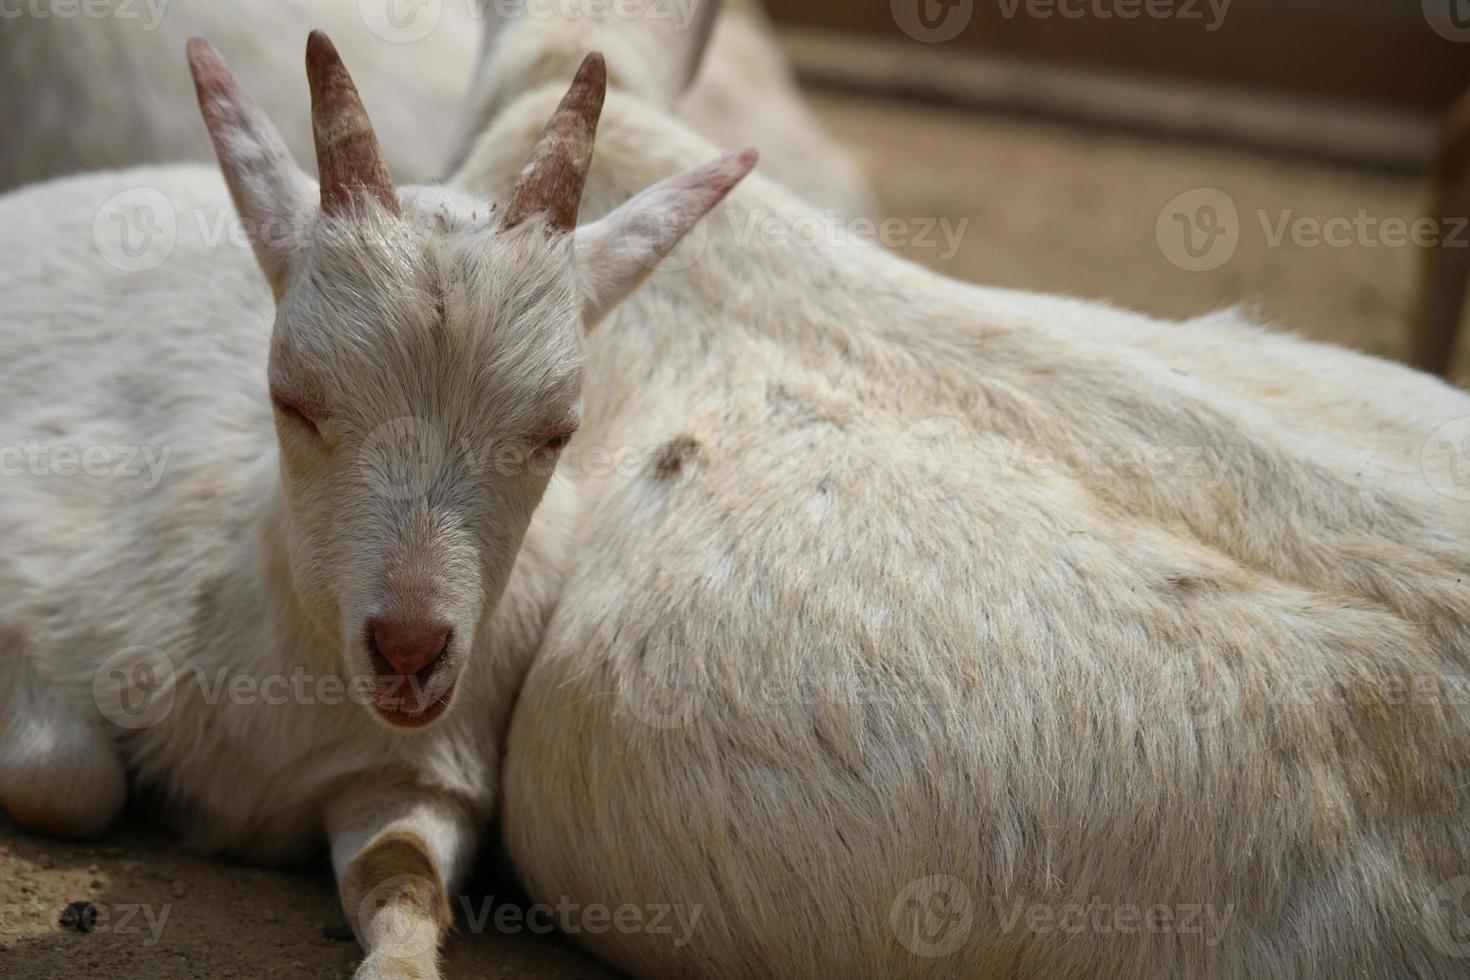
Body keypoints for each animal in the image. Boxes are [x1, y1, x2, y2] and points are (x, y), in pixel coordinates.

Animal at [0, 30, 752, 980]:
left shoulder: (414, 769)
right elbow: (61, 780)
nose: (408, 649)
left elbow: (405, 872)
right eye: (290, 397)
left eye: (556, 431)